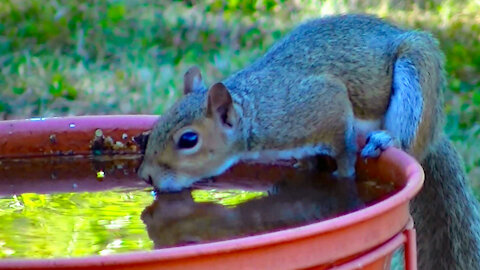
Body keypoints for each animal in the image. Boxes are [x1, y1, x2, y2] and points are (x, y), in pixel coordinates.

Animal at [139, 15, 480, 270]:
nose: (147, 176)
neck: (258, 112)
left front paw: (344, 174)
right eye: (157, 125)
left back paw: (386, 139)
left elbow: (344, 150)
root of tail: (435, 132)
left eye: (189, 139)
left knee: (409, 142)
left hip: (416, 72)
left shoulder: (325, 101)